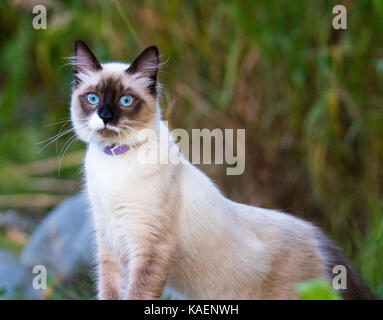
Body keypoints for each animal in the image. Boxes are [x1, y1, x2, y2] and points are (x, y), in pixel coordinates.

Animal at [70, 40, 378, 300]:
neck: (114, 161)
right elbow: (108, 292)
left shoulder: (148, 247)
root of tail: (319, 237)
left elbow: (137, 293)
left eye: (125, 101)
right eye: (94, 99)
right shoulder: (110, 244)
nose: (106, 117)